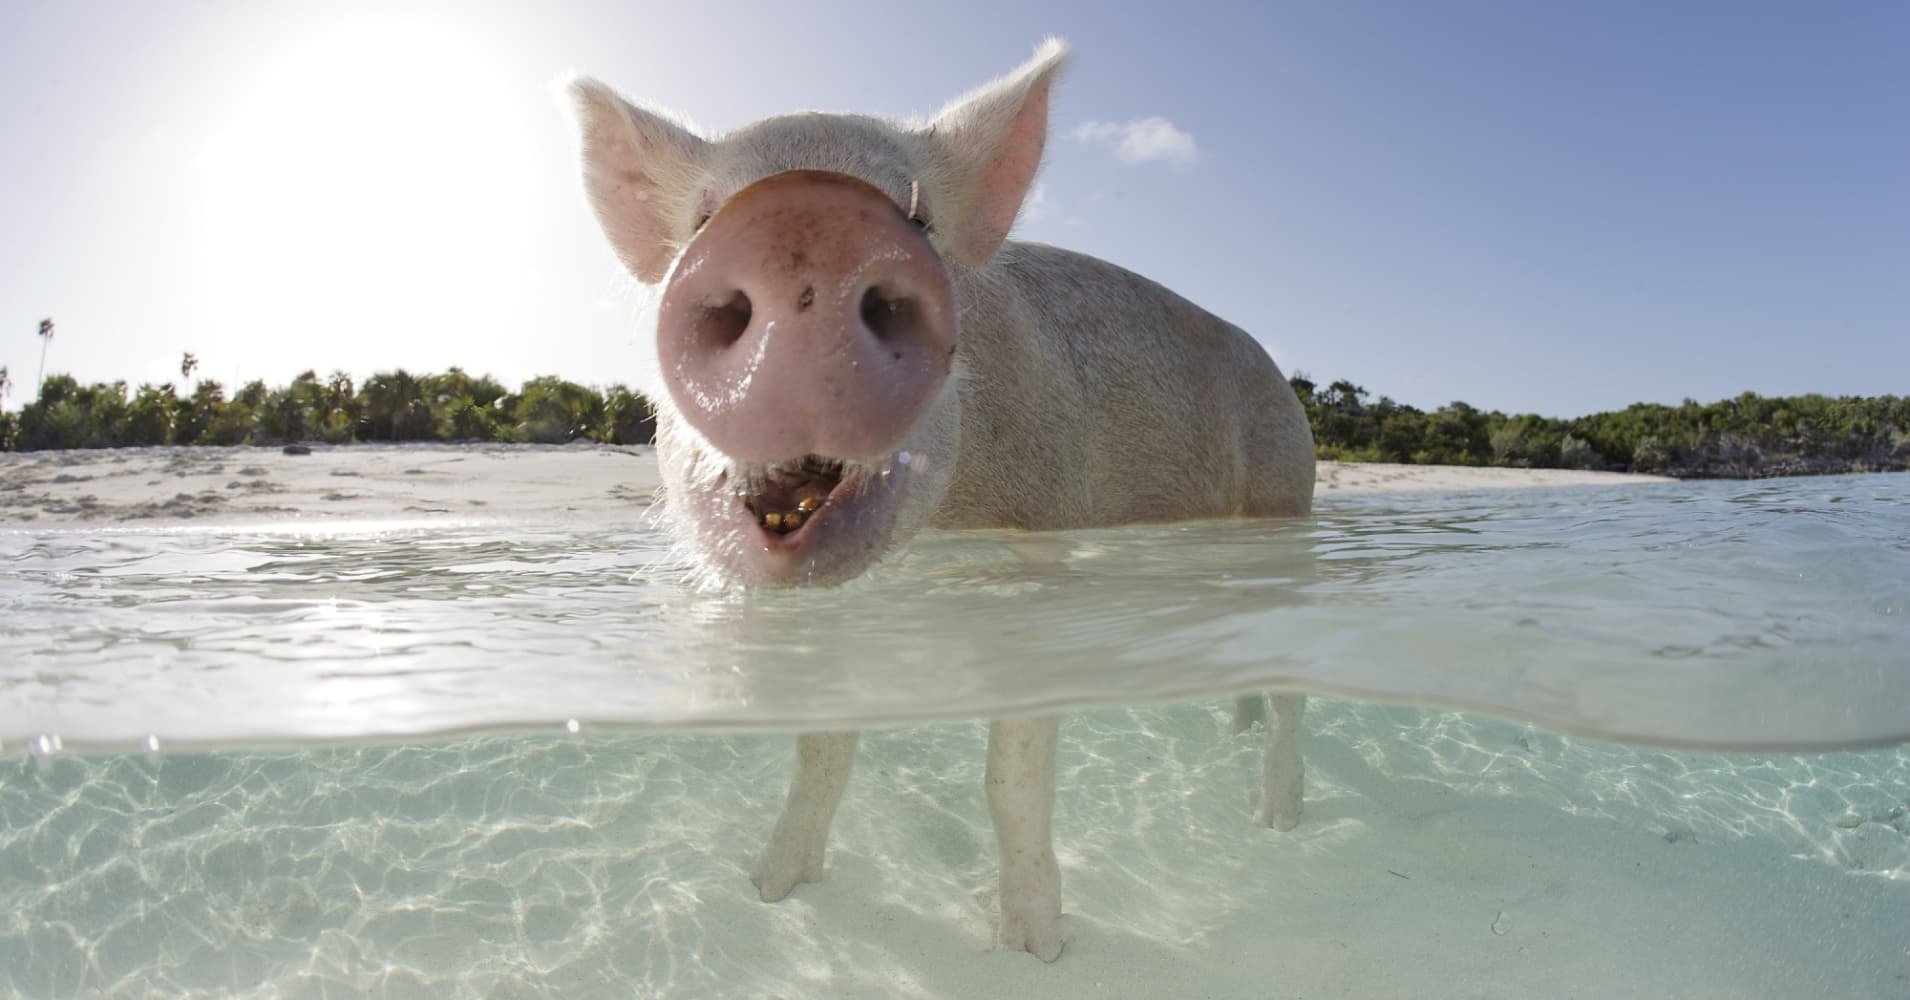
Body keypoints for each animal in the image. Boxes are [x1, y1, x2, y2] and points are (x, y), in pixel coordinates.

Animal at [568, 39, 1314, 961]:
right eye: (703, 219)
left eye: (920, 221)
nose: (801, 223)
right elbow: (822, 750)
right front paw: (770, 890)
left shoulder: (1044, 532)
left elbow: (1010, 776)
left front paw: (1034, 950)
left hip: (1287, 496)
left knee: (1292, 683)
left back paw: (1276, 819)